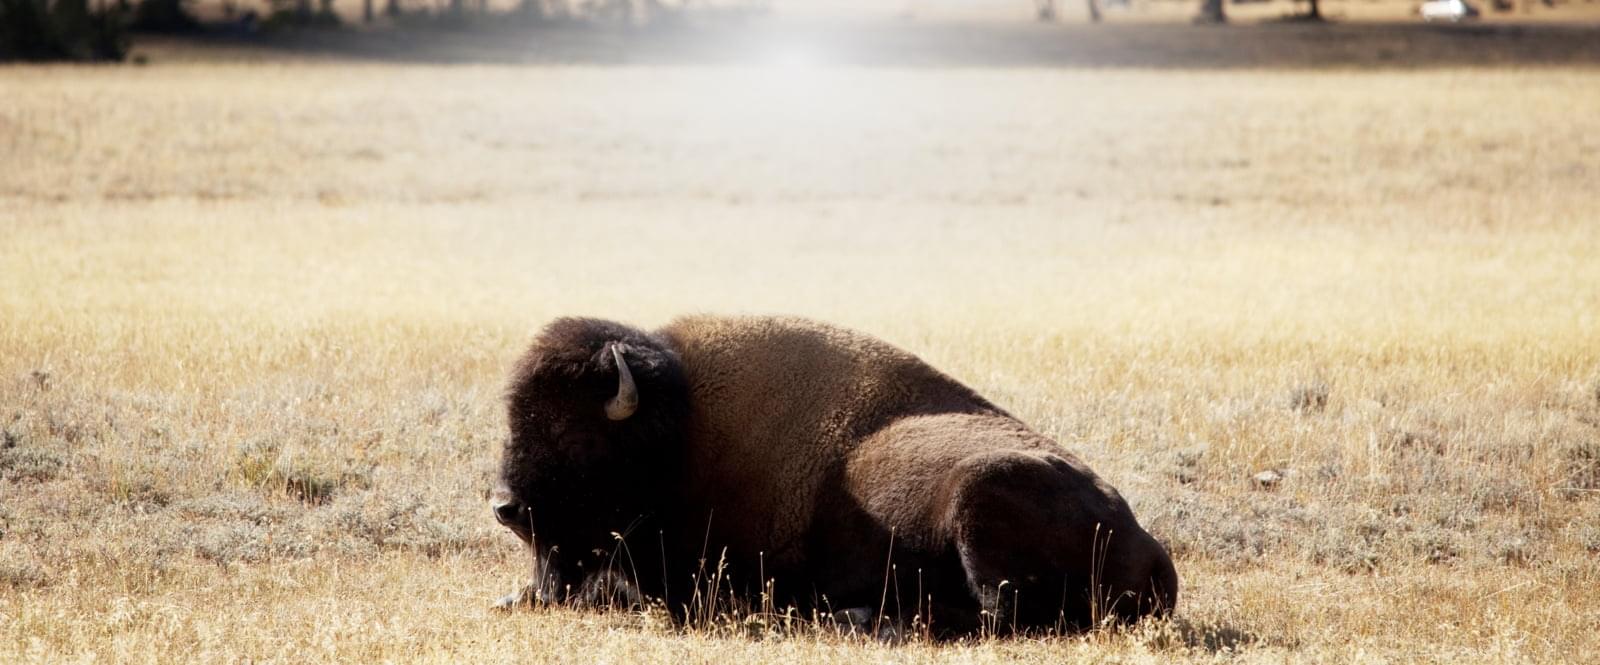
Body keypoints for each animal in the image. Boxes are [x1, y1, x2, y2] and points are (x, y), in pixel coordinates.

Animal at [491, 315, 1176, 635]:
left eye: (576, 434)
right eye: (513, 418)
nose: (506, 507)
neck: (681, 432)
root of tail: (1152, 547)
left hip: (980, 498)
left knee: (995, 615)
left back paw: (862, 617)